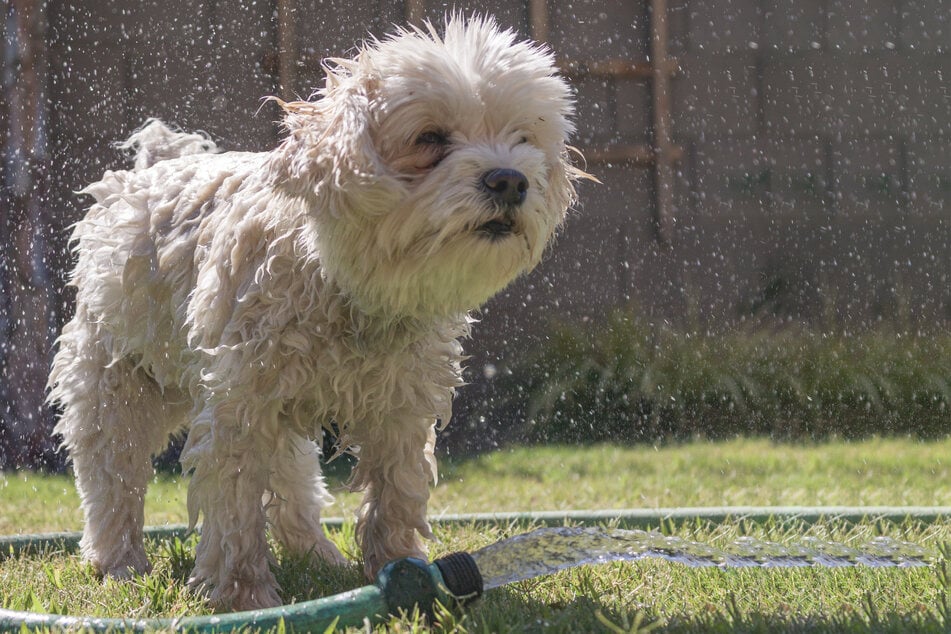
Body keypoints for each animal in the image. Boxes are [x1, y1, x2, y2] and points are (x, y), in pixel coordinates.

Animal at [48, 14, 584, 608]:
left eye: (523, 139)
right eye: (430, 138)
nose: (510, 179)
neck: (347, 286)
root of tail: (152, 171)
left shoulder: (401, 406)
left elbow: (396, 492)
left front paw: (402, 569)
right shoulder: (238, 409)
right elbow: (235, 507)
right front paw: (243, 596)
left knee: (292, 483)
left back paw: (318, 555)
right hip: (116, 384)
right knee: (111, 477)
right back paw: (118, 563)